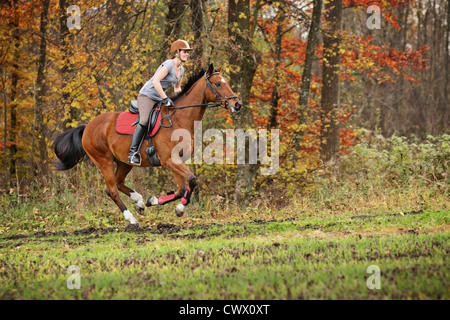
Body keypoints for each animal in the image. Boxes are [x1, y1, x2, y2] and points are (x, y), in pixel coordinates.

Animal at [53, 63, 241, 226]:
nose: (237, 104)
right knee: (112, 189)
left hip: (124, 161)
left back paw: (140, 202)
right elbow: (191, 180)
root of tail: (87, 127)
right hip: (103, 160)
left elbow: (181, 188)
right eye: (218, 83)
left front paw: (157, 202)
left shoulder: (176, 161)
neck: (179, 120)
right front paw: (178, 208)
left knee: (118, 183)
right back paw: (132, 219)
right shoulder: (169, 160)